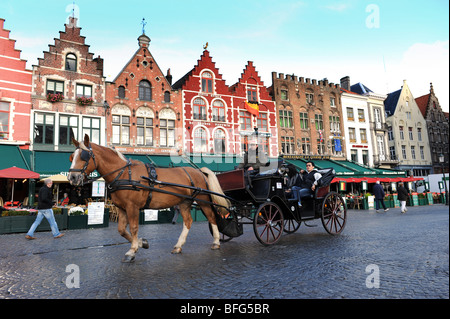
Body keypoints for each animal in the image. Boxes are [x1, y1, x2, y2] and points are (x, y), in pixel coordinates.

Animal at [68, 135, 230, 262]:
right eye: (72, 157)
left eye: (84, 156)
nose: (72, 177)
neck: (124, 174)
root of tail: (199, 171)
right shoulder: (122, 208)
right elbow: (121, 230)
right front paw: (142, 243)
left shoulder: (132, 207)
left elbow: (133, 228)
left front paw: (132, 251)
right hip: (184, 203)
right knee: (188, 222)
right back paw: (178, 246)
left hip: (203, 201)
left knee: (212, 217)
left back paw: (216, 242)